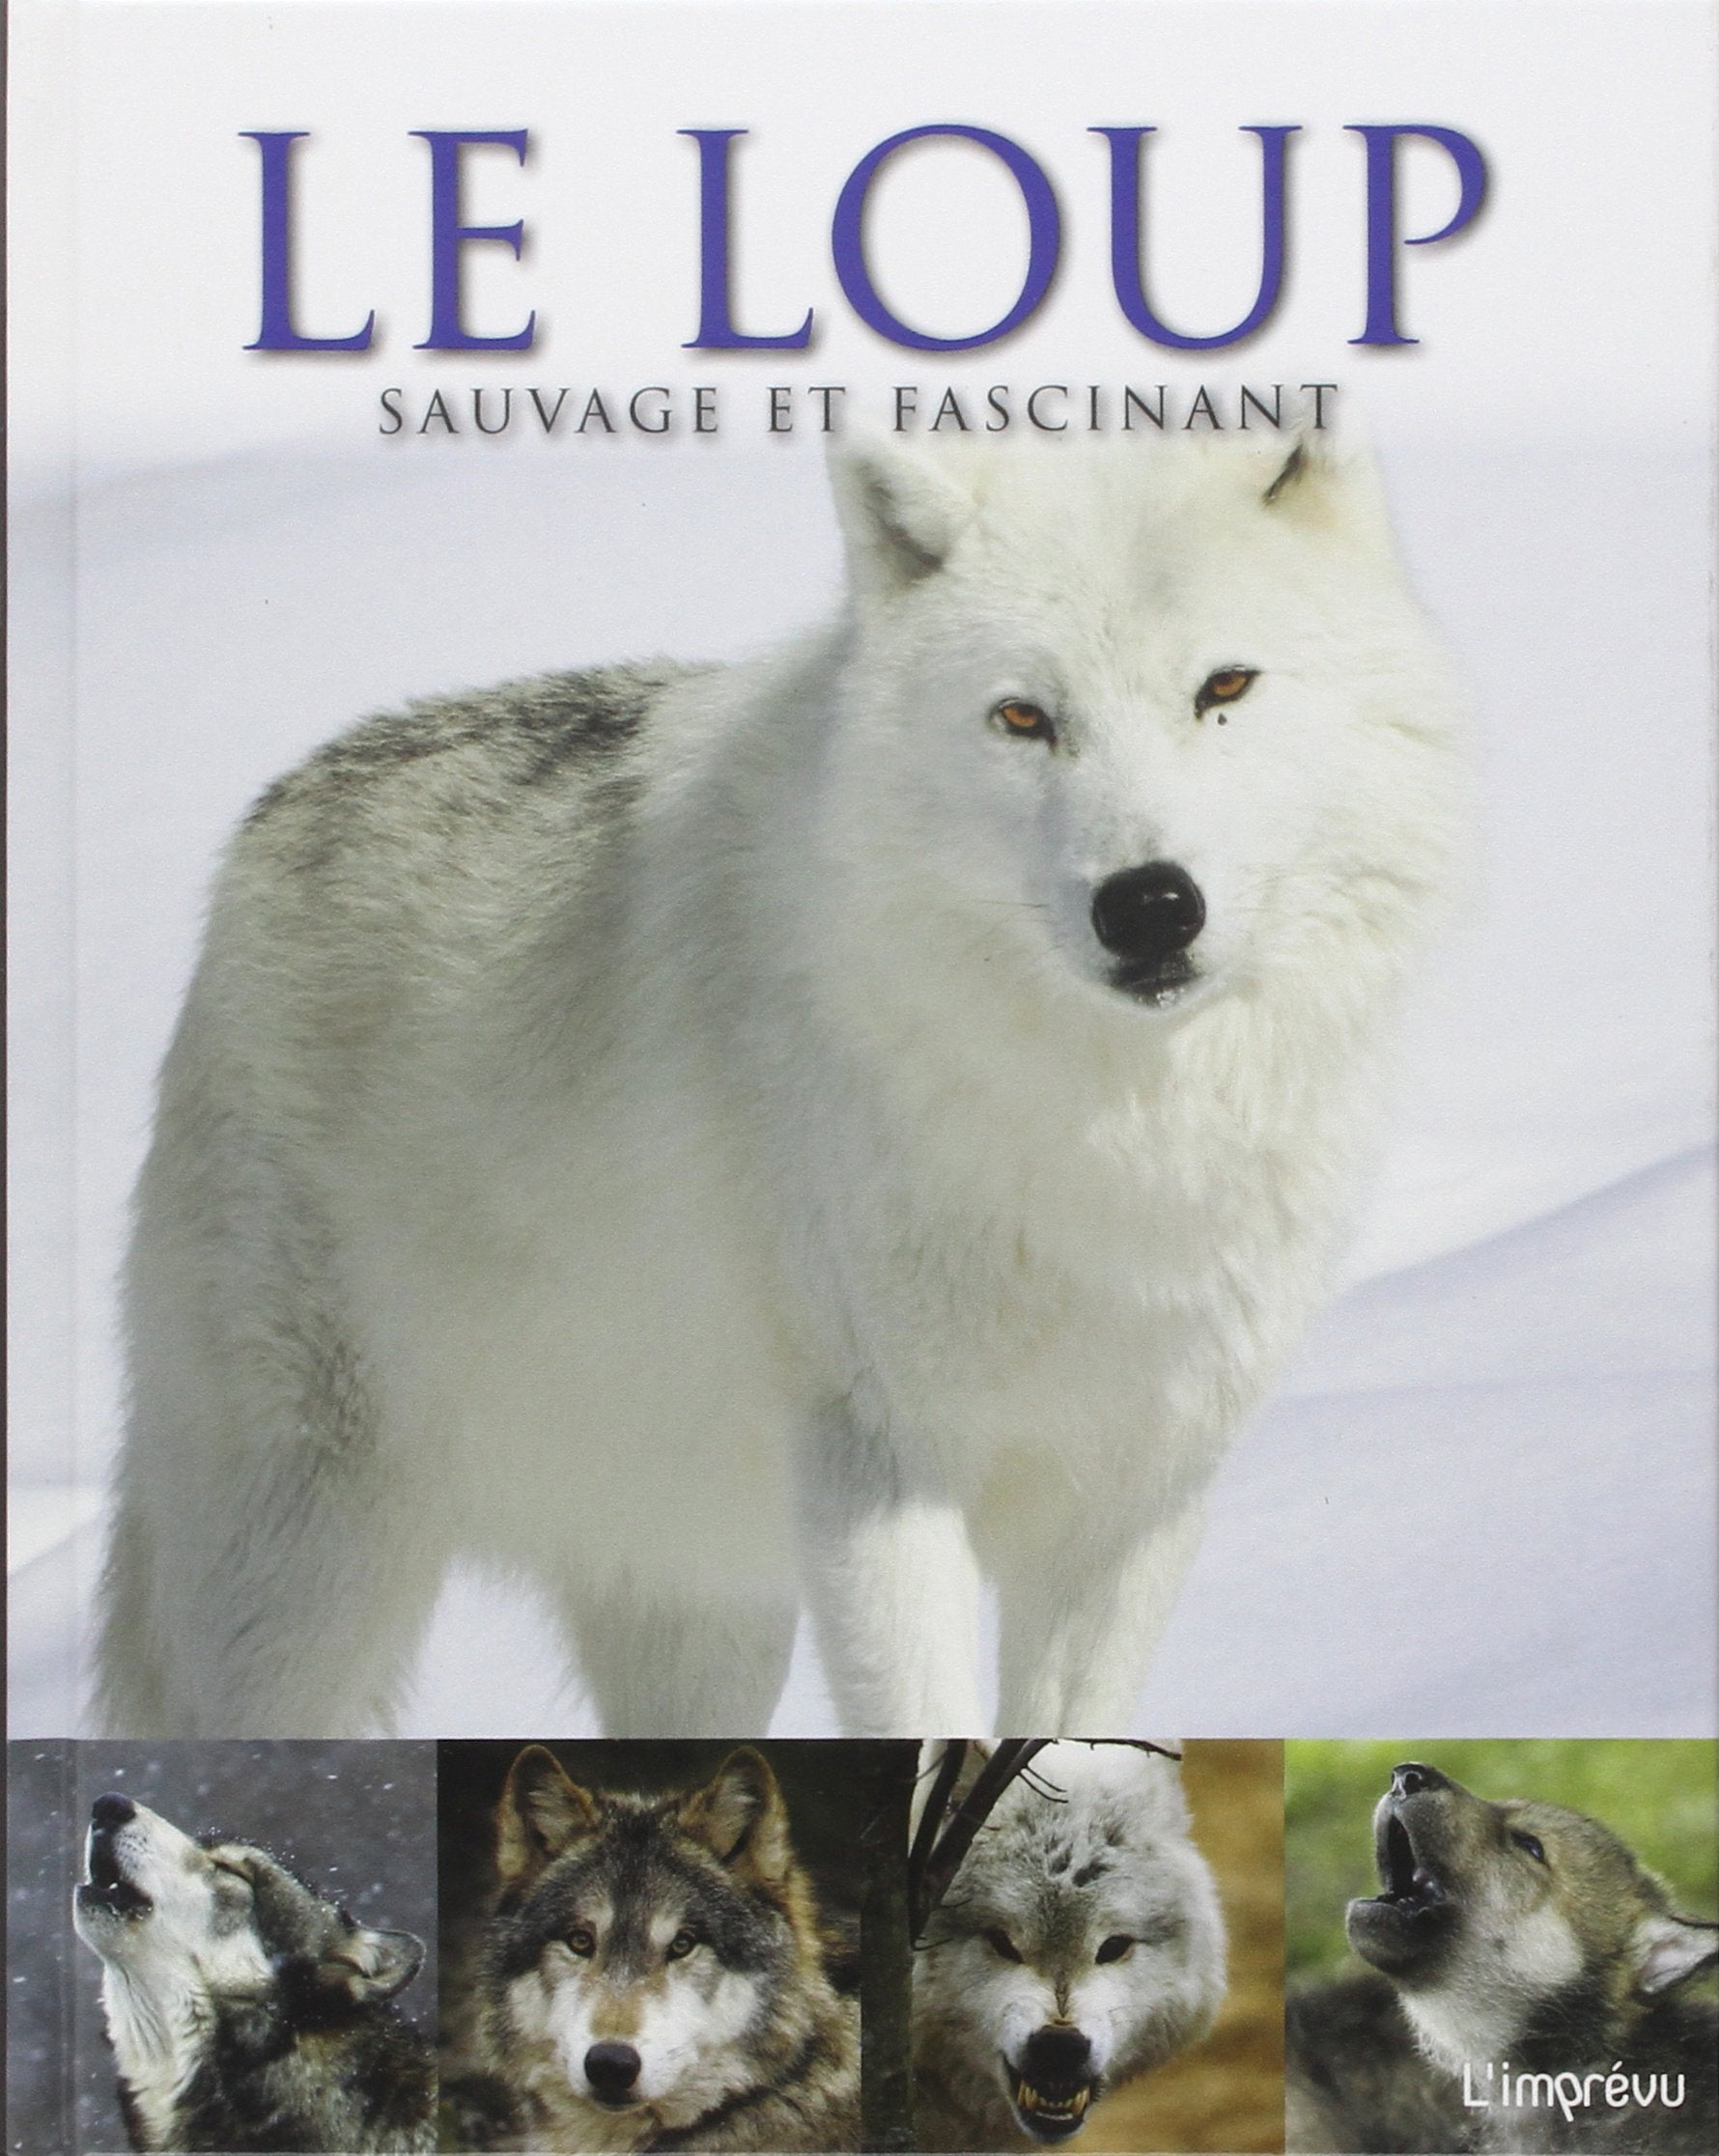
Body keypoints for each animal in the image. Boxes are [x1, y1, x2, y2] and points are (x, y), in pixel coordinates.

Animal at [98, 427, 1466, 1740]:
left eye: (1223, 686)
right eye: (1022, 718)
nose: (1146, 905)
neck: (1112, 1128)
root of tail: (276, 810)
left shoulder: (1135, 1499)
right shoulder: (880, 1471)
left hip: (701, 1600)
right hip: (311, 1573)